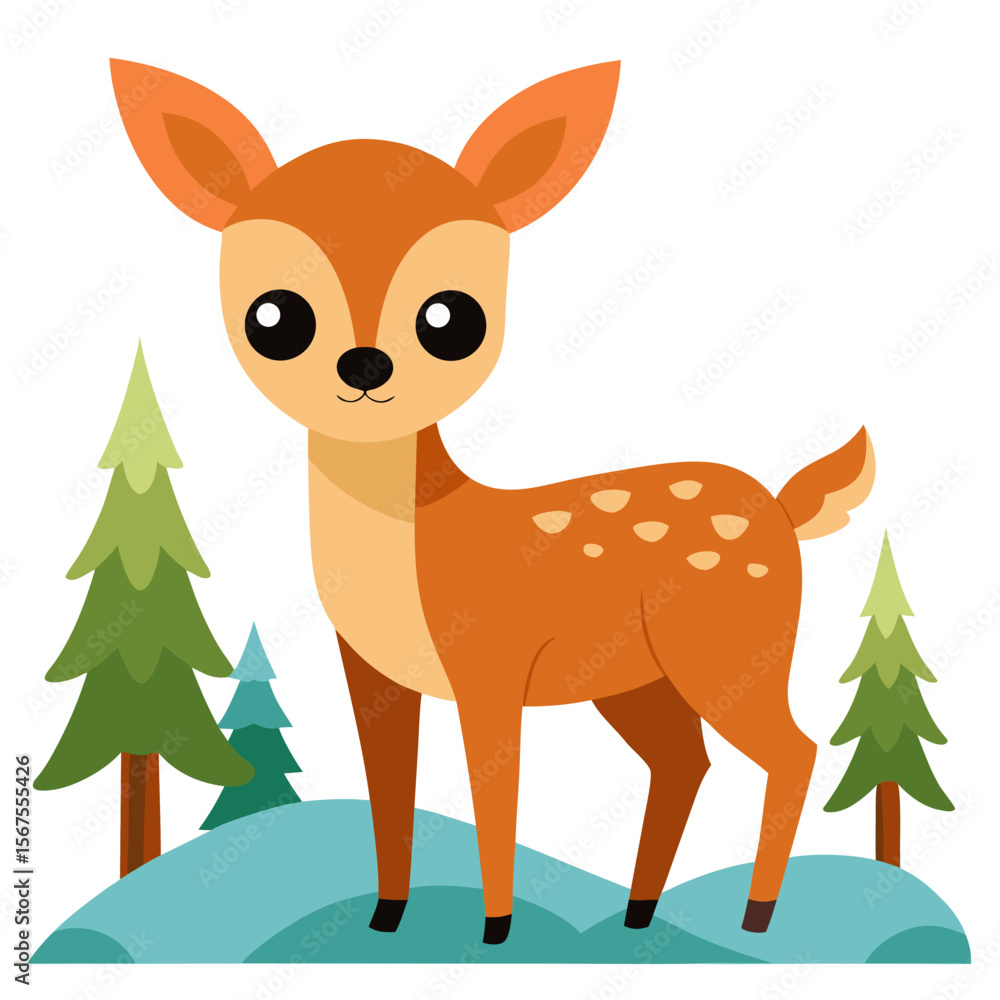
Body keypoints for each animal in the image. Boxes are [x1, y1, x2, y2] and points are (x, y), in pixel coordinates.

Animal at [110, 58, 875, 945]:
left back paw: (754, 917)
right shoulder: (371, 671)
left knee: (794, 749)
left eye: (452, 318)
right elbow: (389, 789)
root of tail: (784, 509)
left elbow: (491, 792)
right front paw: (386, 917)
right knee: (687, 761)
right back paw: (639, 914)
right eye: (274, 315)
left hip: (728, 644)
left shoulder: (492, 663)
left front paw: (496, 930)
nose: (364, 366)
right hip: (635, 678)